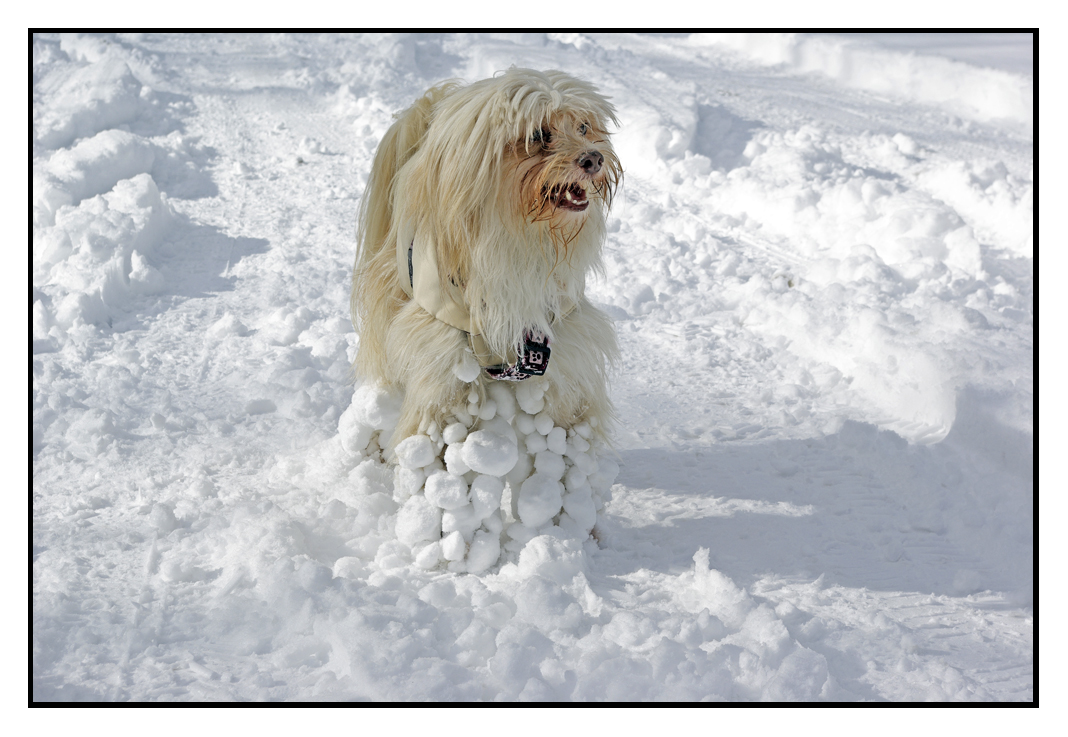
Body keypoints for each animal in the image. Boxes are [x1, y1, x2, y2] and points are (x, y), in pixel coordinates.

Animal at [350, 65, 623, 450]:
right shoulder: (445, 346)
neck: (518, 240)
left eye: (583, 127)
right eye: (538, 134)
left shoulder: (560, 332)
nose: (594, 158)